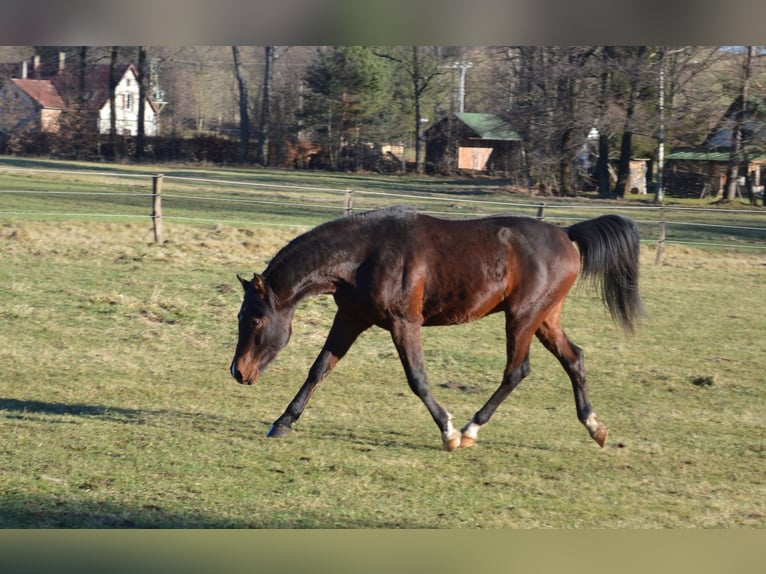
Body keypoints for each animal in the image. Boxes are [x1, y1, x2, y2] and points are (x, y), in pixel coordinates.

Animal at [231, 207, 644, 454]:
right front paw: (282, 422)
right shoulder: (350, 319)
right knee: (574, 358)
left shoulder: (404, 323)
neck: (363, 255)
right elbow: (319, 369)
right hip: (545, 318)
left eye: (254, 319)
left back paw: (471, 429)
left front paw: (448, 431)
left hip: (522, 317)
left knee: (517, 371)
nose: (239, 372)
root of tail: (565, 233)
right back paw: (594, 426)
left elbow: (417, 379)